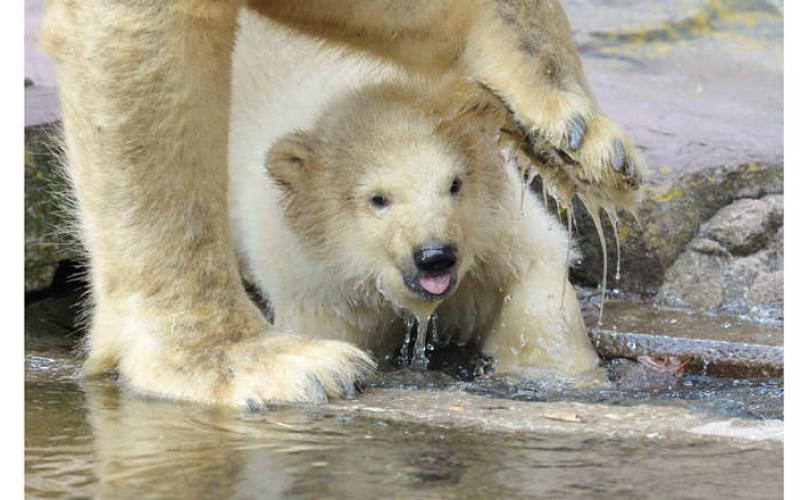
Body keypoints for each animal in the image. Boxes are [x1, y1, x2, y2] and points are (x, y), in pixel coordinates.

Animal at [43, 0, 644, 406]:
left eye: (454, 185)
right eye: (378, 200)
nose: (435, 255)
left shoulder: (500, 230)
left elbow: (536, 273)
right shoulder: (316, 278)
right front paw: (293, 366)